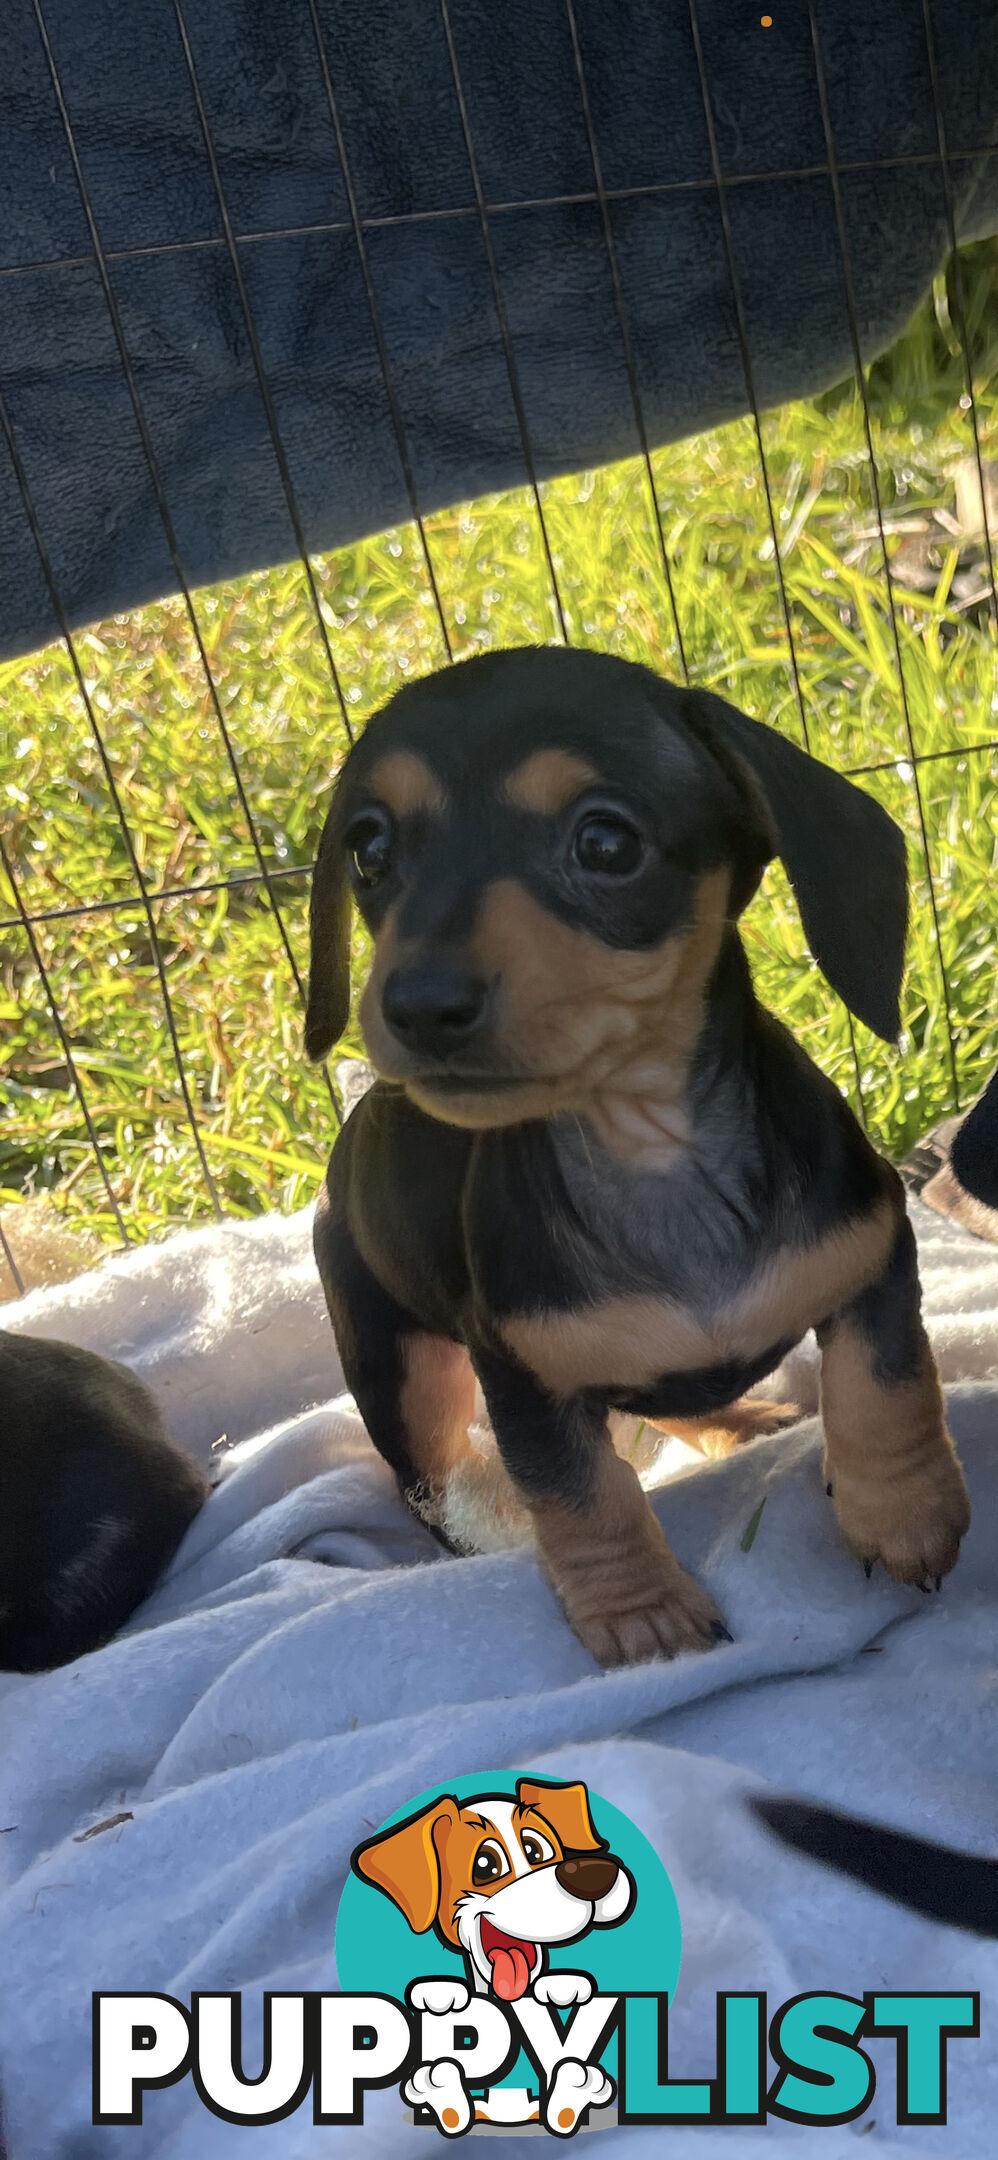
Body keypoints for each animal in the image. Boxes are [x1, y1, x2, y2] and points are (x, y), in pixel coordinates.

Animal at [302, 648, 967, 1658]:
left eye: (607, 844)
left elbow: (886, 1386)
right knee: (435, 1489)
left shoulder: (875, 1256)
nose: (418, 1006)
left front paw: (903, 1511)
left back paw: (744, 1418)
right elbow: (583, 1496)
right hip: (396, 1368)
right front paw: (639, 1611)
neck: (655, 1150)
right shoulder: (523, 1379)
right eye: (370, 852)